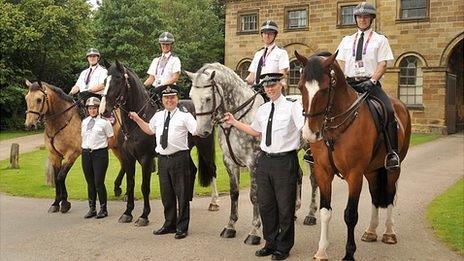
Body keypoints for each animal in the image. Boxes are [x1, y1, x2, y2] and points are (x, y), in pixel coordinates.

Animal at [23, 80, 125, 212]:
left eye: (39, 99)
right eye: (26, 98)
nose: (29, 125)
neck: (62, 121)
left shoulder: (72, 154)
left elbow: (61, 176)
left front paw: (65, 203)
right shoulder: (54, 155)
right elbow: (56, 178)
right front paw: (56, 203)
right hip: (115, 147)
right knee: (124, 164)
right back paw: (117, 188)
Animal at [99, 60, 216, 225]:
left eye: (118, 79)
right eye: (104, 81)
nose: (103, 111)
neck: (136, 123)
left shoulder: (145, 159)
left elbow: (144, 187)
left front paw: (144, 216)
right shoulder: (128, 159)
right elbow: (130, 184)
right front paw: (127, 213)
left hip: (204, 147)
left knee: (212, 170)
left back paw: (214, 203)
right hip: (184, 150)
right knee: (192, 170)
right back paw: (184, 203)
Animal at [185, 62, 320, 244]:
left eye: (207, 98)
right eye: (191, 97)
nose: (201, 132)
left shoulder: (254, 163)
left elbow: (255, 195)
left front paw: (254, 230)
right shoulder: (229, 162)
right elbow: (234, 194)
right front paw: (230, 226)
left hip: (309, 151)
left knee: (313, 180)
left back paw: (311, 214)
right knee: (298, 175)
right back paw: (294, 211)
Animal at [296, 51, 412, 260]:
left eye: (324, 89)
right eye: (300, 87)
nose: (310, 134)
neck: (336, 129)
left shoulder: (354, 174)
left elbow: (350, 214)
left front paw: (349, 253)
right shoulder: (323, 172)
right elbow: (325, 211)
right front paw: (321, 251)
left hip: (393, 169)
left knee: (390, 194)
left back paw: (389, 232)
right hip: (372, 170)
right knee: (375, 194)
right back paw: (371, 231)